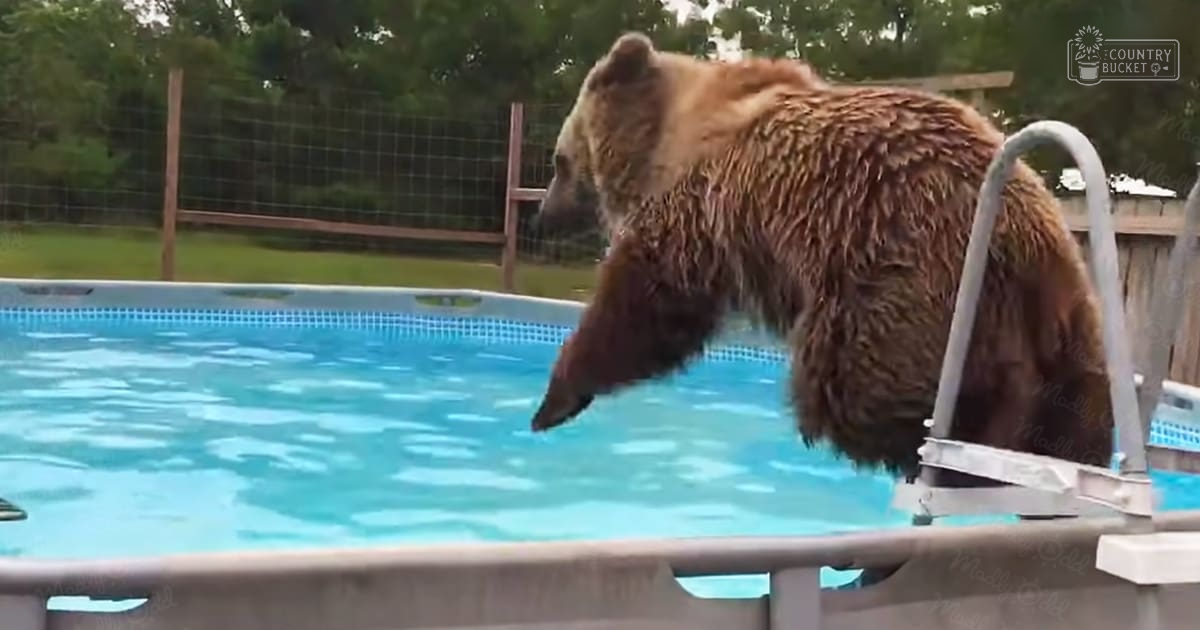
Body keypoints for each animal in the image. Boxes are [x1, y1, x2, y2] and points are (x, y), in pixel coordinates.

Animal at [527, 31, 1115, 491]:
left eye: (559, 161)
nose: (542, 215)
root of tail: (1030, 245)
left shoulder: (693, 213)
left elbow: (644, 306)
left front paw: (555, 399)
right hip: (1072, 323)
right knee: (1081, 412)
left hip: (898, 279)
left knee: (858, 391)